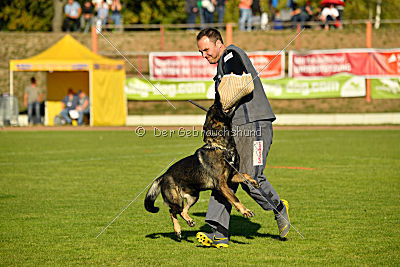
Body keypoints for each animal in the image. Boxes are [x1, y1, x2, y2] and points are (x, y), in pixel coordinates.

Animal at [145, 99, 260, 240]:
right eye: (215, 108)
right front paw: (245, 211)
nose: (217, 100)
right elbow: (234, 198)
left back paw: (189, 221)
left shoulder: (231, 177)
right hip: (176, 200)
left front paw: (253, 182)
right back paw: (177, 230)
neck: (222, 148)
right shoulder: (222, 185)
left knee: (182, 211)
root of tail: (163, 176)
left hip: (194, 197)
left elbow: (245, 175)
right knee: (172, 211)